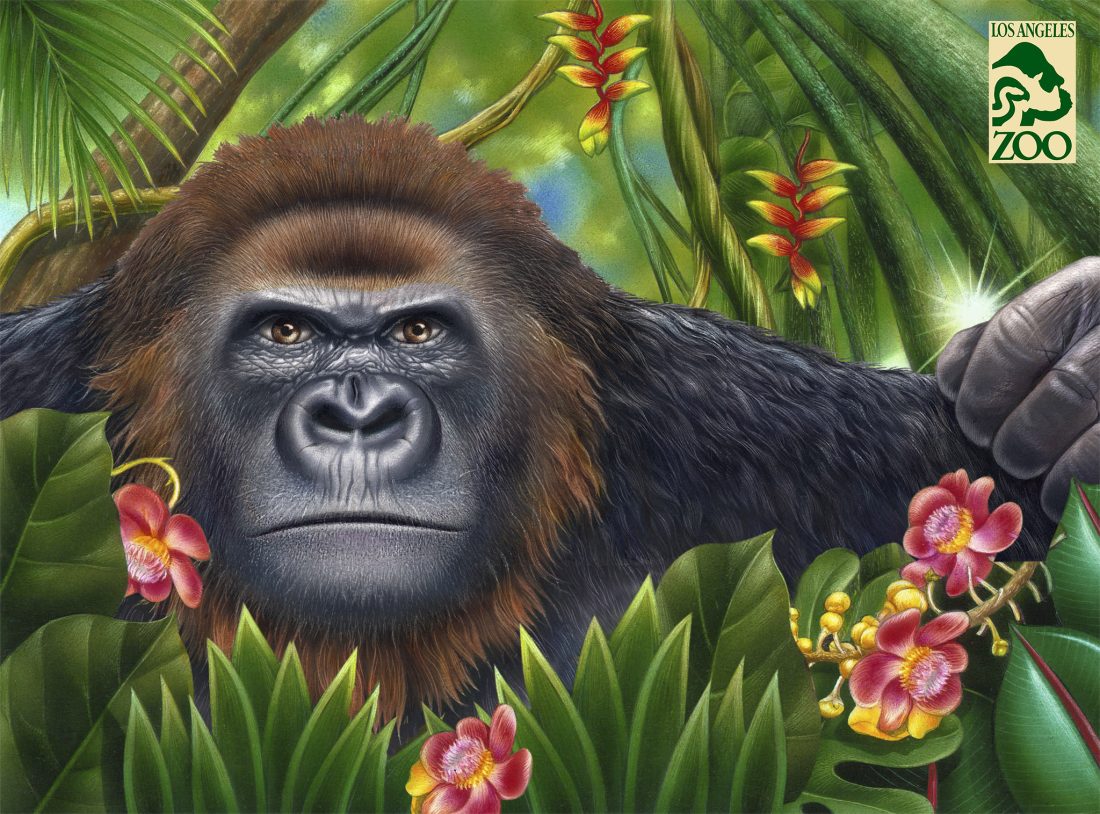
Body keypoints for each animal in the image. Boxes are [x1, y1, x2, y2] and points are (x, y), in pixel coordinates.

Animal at [1, 117, 1097, 724]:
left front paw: (1065, 359)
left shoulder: (747, 427)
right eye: (283, 331)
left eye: (416, 332)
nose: (359, 414)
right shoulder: (43, 382)